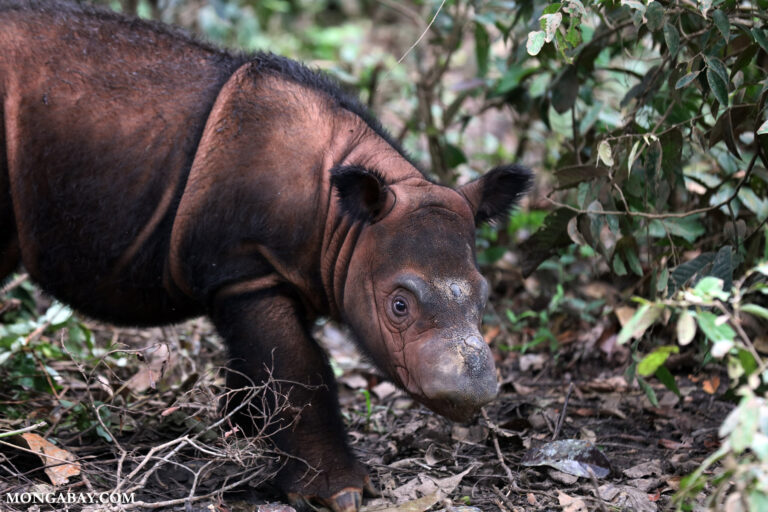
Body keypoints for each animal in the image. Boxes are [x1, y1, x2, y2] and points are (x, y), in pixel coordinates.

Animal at [0, 2, 532, 510]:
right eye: (398, 306)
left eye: (485, 298)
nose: (472, 393)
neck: (346, 221)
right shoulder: (247, 270)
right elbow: (297, 367)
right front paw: (335, 493)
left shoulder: (284, 271)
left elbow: (259, 365)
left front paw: (242, 431)